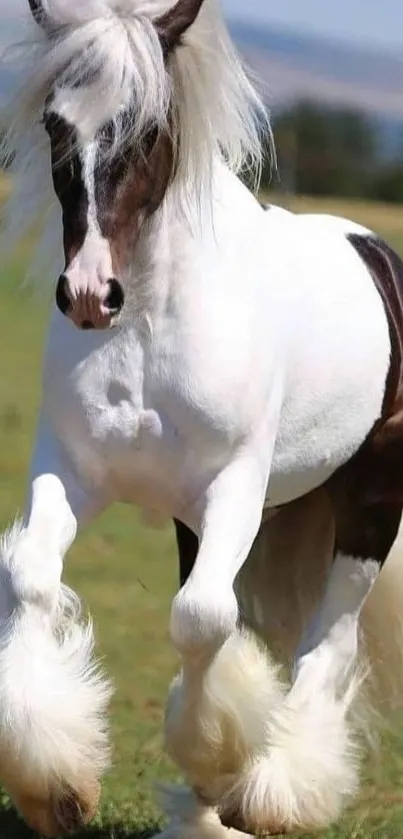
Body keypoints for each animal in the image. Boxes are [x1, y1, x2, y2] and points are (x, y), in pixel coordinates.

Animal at [2, 0, 403, 836]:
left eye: (151, 126)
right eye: (56, 122)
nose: (90, 295)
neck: (152, 324)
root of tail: (378, 256)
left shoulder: (233, 488)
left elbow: (200, 619)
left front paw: (221, 763)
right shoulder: (70, 470)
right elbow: (30, 575)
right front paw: (56, 784)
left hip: (369, 505)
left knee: (328, 642)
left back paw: (276, 790)